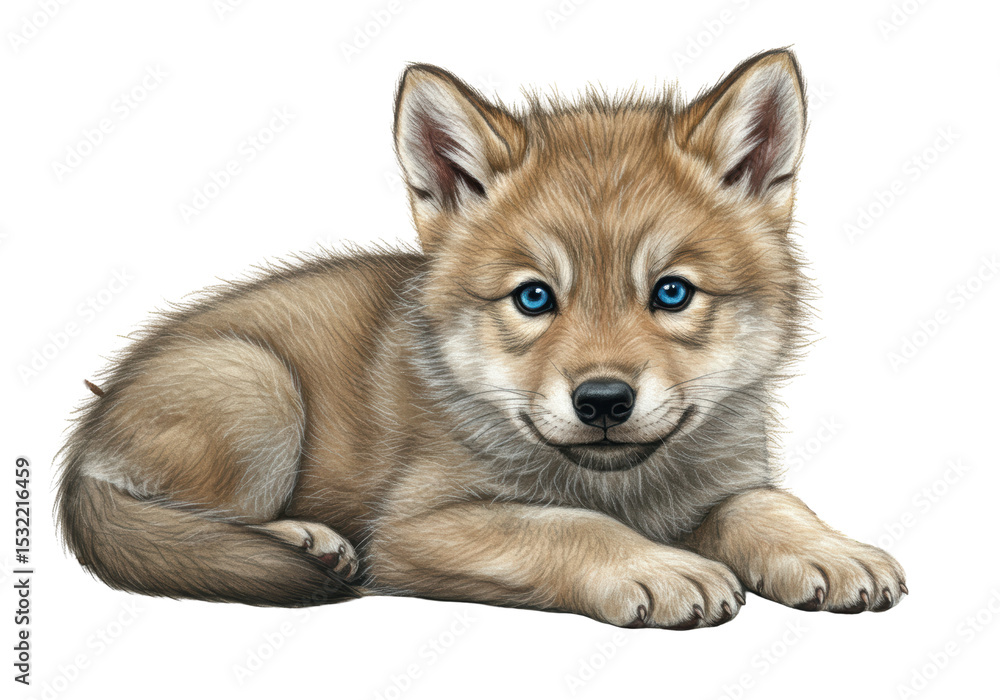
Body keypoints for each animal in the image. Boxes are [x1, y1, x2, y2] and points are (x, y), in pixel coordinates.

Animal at [57, 49, 906, 628]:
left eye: (671, 293)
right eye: (534, 297)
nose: (604, 401)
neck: (624, 487)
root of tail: (92, 425)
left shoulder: (723, 483)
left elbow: (768, 504)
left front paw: (829, 549)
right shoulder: (417, 528)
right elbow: (564, 527)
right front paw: (659, 567)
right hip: (256, 387)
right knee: (166, 513)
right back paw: (303, 537)